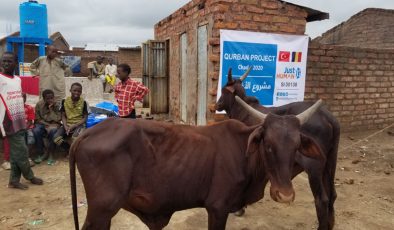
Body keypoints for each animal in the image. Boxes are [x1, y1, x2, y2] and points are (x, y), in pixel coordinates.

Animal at [70, 104, 324, 230]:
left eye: (297, 146)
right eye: (268, 145)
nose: (285, 195)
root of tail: (89, 132)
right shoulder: (218, 207)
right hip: (102, 209)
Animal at [214, 67, 340, 230]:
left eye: (224, 90)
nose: (216, 105)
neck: (243, 110)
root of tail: (328, 116)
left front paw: (240, 209)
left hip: (314, 167)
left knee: (322, 200)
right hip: (330, 163)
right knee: (333, 195)